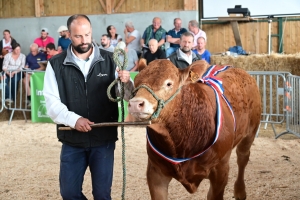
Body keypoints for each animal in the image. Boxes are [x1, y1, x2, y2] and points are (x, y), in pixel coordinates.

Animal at [127, 59, 262, 200]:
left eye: (169, 83)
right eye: (136, 80)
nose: (136, 104)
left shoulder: (220, 170)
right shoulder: (155, 172)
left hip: (251, 132)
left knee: (242, 157)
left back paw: (240, 191)